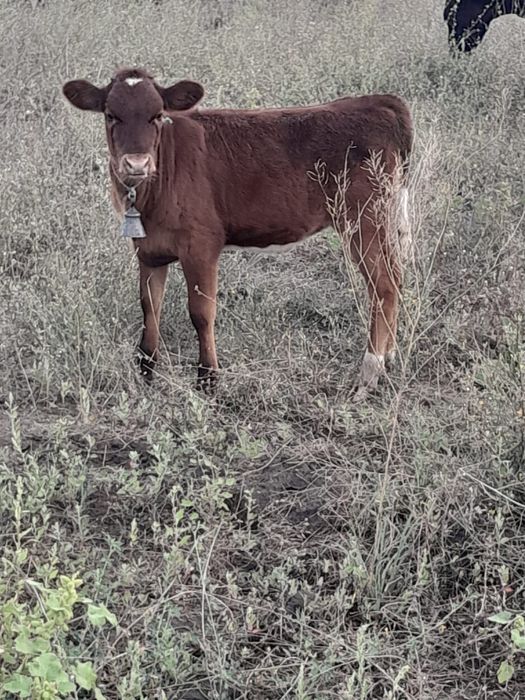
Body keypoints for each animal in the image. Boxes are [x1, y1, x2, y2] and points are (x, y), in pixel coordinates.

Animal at [62, 68, 412, 401]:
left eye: (158, 114)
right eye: (111, 115)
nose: (136, 164)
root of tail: (377, 102)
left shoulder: (200, 246)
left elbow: (201, 312)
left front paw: (207, 378)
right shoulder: (147, 250)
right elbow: (150, 305)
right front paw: (146, 370)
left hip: (364, 218)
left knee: (383, 285)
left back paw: (369, 373)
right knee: (396, 276)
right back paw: (390, 357)